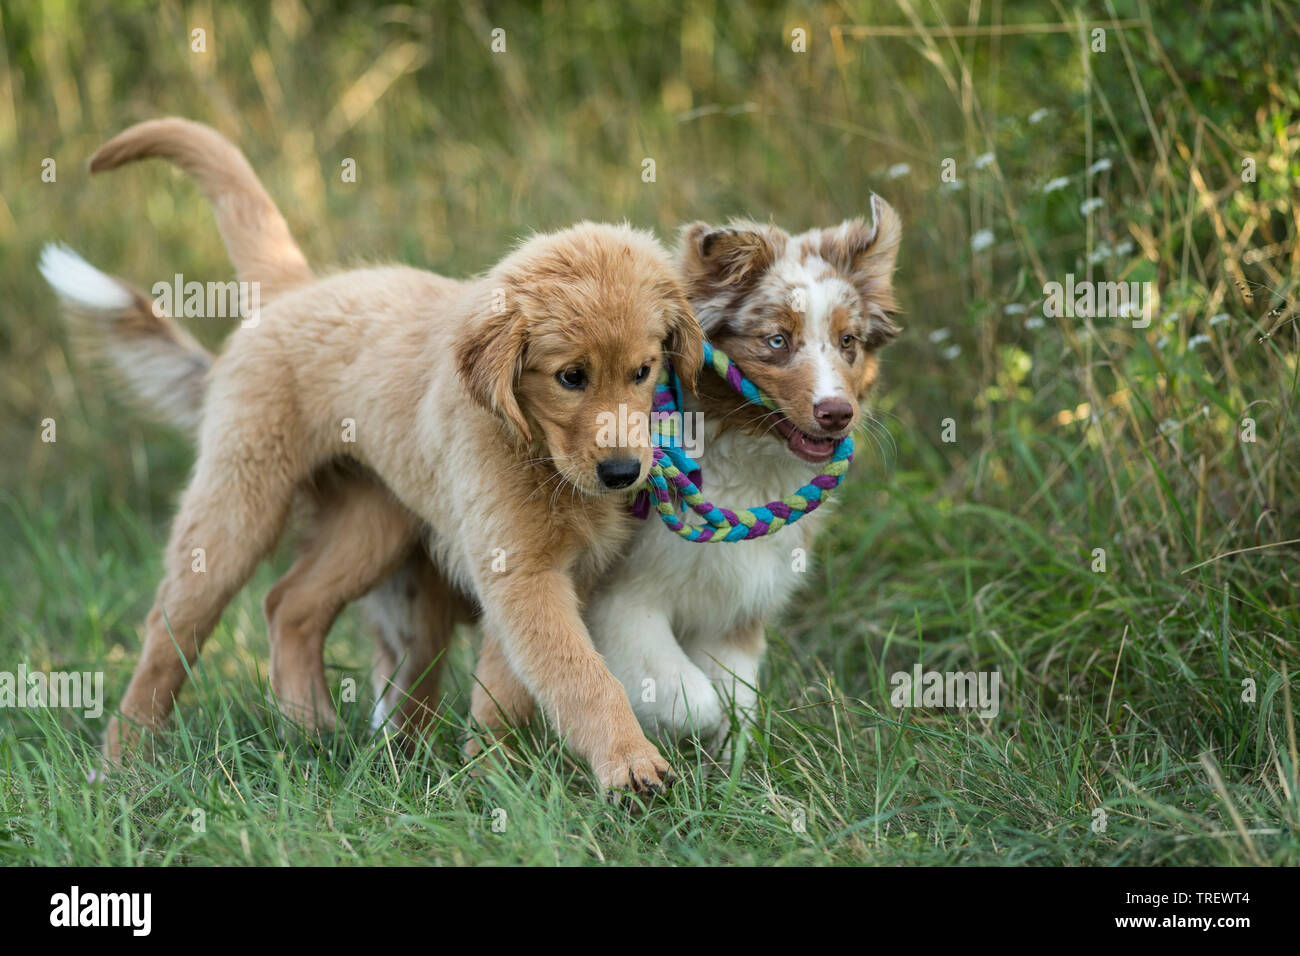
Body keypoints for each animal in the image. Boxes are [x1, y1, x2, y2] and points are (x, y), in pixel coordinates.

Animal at [43, 117, 702, 790]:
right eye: (571, 377)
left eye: (644, 371)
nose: (623, 474)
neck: (535, 448)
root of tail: (297, 290)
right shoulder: (522, 571)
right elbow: (581, 676)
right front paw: (629, 765)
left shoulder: (548, 571)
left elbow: (509, 684)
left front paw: (493, 771)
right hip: (238, 505)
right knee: (169, 631)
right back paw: (121, 763)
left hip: (373, 519)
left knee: (291, 606)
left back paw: (314, 734)